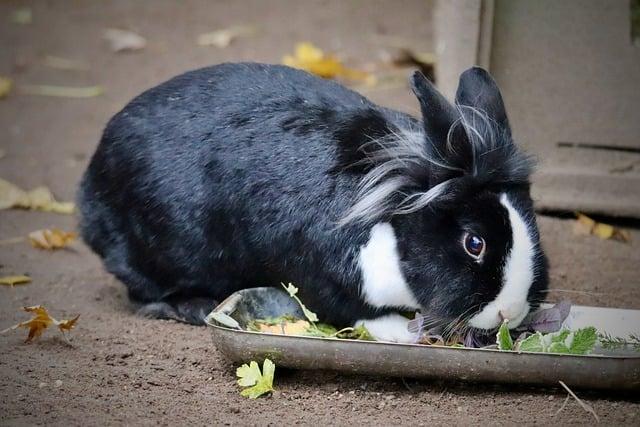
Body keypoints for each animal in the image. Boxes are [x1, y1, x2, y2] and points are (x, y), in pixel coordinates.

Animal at [77, 62, 552, 344]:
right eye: (474, 243)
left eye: (533, 223)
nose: (510, 312)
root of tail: (89, 192)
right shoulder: (321, 276)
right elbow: (355, 312)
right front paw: (407, 334)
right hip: (155, 250)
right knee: (141, 292)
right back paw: (191, 307)